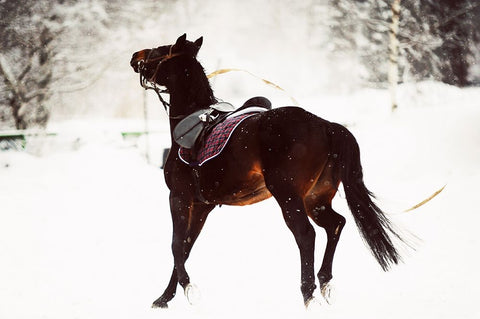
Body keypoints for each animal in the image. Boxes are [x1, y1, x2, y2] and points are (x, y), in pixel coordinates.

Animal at [128, 33, 404, 308]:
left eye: (160, 51)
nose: (135, 56)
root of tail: (326, 126)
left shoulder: (179, 197)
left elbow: (176, 245)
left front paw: (187, 288)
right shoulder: (202, 206)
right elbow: (186, 247)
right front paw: (165, 297)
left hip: (289, 196)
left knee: (306, 235)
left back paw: (308, 293)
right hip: (315, 199)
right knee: (336, 224)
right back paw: (325, 281)